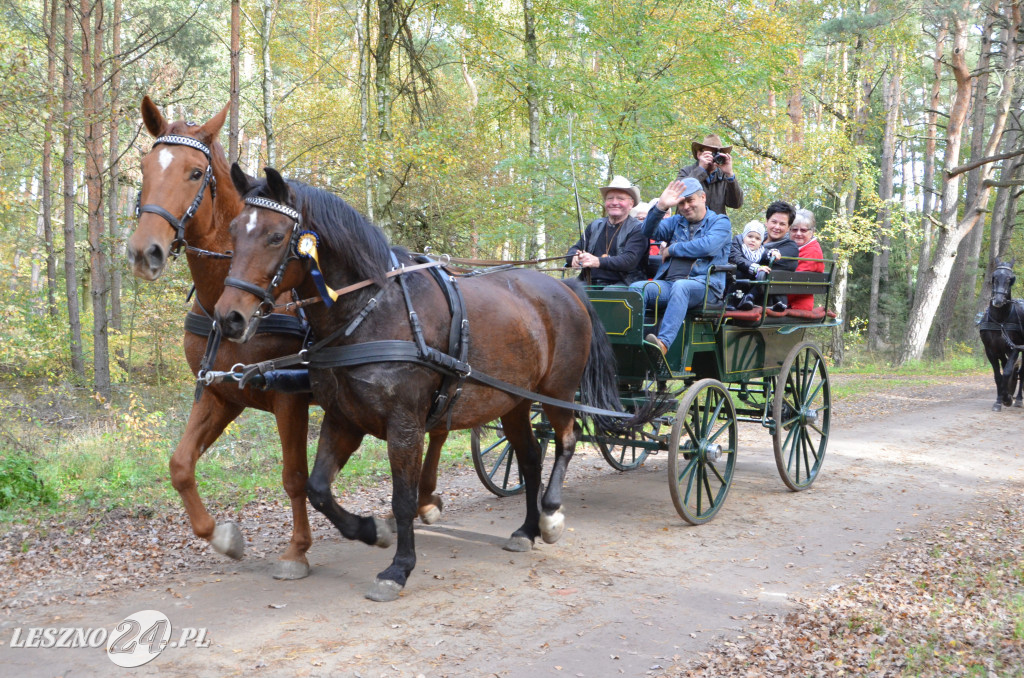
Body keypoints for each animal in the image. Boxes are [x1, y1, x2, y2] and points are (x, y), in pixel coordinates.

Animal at [124, 98, 452, 581]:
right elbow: (181, 465)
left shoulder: (289, 397)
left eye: (195, 173)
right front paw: (222, 536)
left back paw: (425, 500)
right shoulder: (223, 391)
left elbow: (294, 476)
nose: (144, 252)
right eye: (146, 168)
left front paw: (297, 550)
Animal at [214, 166, 655, 602]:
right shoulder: (343, 418)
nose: (228, 317)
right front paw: (371, 531)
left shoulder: (405, 426)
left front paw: (398, 568)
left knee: (565, 441)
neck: (371, 310)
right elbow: (317, 488)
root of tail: (568, 288)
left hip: (557, 393)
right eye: (233, 230)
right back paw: (526, 530)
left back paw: (549, 516)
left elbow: (403, 499)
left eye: (275, 236)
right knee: (530, 457)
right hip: (513, 401)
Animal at [974, 262, 1024, 411]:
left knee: (1021, 373)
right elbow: (998, 375)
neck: (1000, 320)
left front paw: (1007, 398)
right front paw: (998, 401)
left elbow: (1007, 372)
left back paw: (1018, 399)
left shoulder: (1015, 348)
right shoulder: (991, 350)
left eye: (1010, 279)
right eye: (994, 277)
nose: (998, 300)